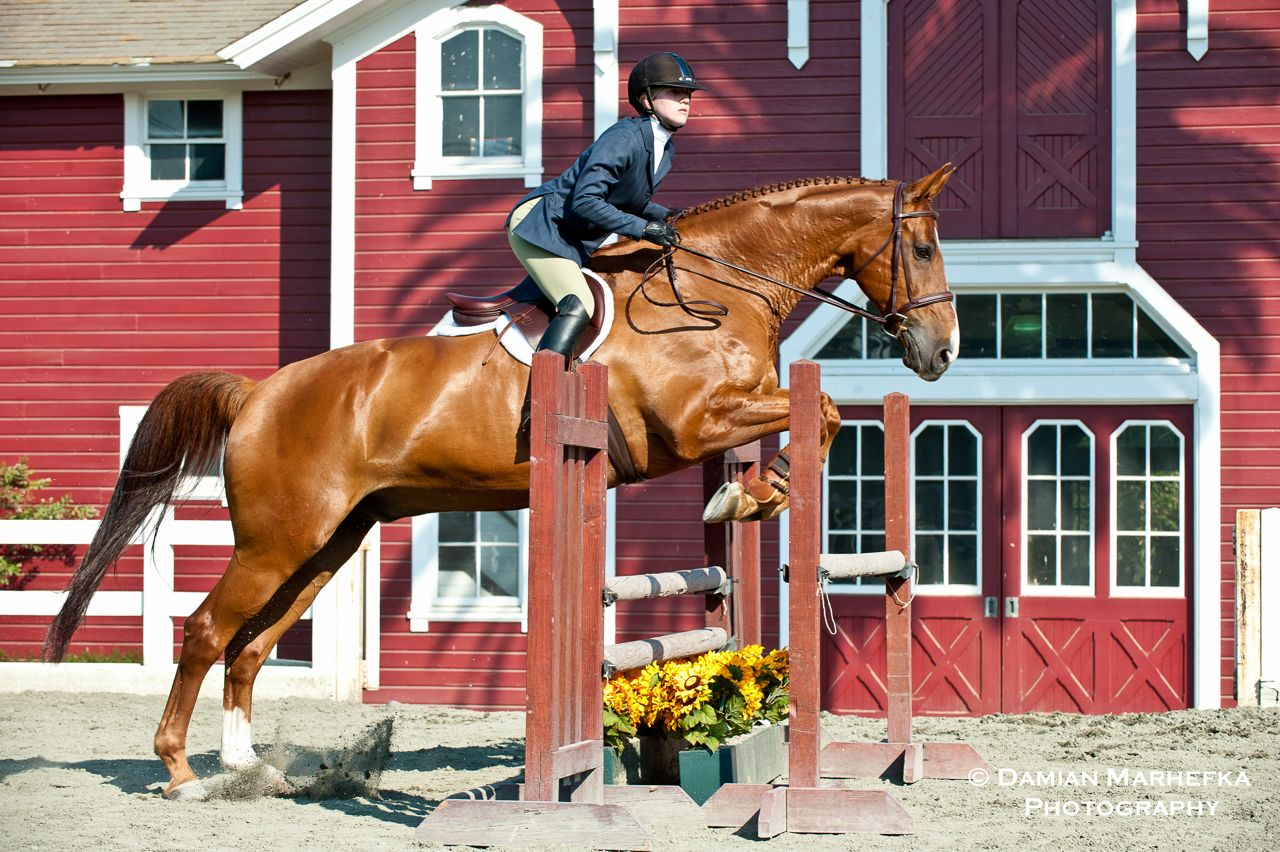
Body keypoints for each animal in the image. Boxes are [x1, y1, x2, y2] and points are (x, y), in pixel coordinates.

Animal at [45, 166, 957, 798]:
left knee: (251, 647)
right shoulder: (696, 424)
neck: (714, 286)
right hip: (278, 540)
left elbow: (817, 418)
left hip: (328, 543)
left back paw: (250, 771)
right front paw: (751, 492)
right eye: (920, 248)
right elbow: (824, 411)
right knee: (207, 633)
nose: (941, 351)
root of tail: (258, 392)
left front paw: (751, 492)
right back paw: (182, 773)